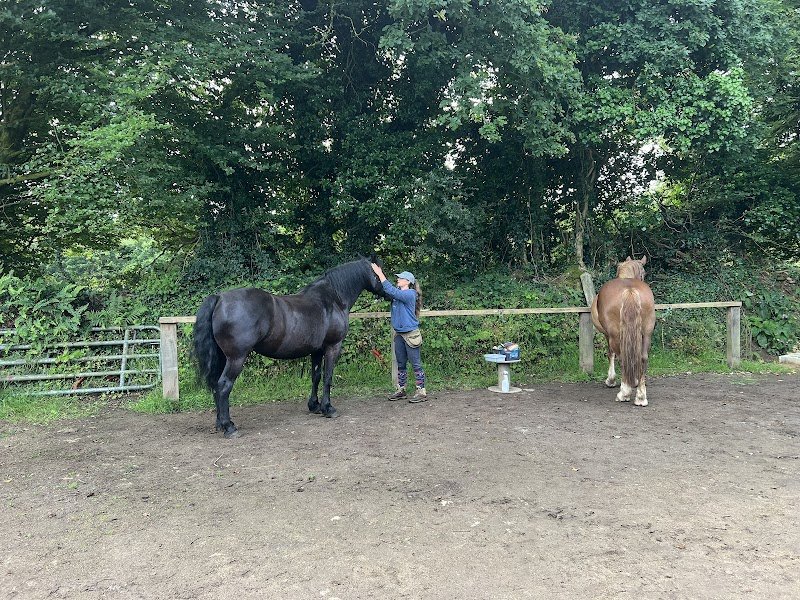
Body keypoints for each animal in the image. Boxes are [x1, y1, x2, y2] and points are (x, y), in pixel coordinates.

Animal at [193, 257, 386, 437]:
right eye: (378, 271)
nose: (388, 291)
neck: (333, 299)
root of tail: (220, 298)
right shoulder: (333, 347)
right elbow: (328, 377)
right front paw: (328, 408)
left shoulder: (316, 350)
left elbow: (316, 376)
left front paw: (314, 405)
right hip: (236, 358)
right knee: (224, 386)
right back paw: (230, 427)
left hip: (223, 357)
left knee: (216, 386)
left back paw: (220, 423)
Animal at [591, 256, 656, 406]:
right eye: (643, 273)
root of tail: (629, 290)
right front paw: (636, 381)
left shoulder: (607, 334)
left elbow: (610, 354)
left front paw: (611, 380)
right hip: (647, 333)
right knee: (643, 357)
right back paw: (641, 397)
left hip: (615, 335)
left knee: (622, 357)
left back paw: (624, 393)